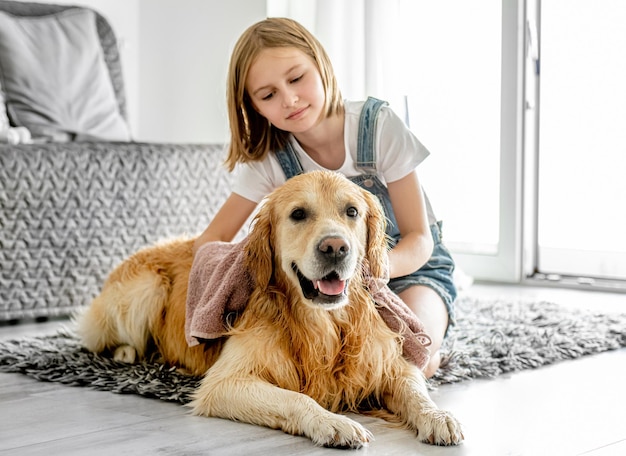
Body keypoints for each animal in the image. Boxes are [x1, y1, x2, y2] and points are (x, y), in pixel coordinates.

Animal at [75, 169, 460, 448]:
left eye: (352, 212)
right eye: (298, 214)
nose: (335, 248)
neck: (324, 323)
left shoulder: (390, 365)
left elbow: (416, 393)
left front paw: (438, 417)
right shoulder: (225, 382)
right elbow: (297, 399)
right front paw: (333, 422)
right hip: (147, 288)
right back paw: (129, 354)